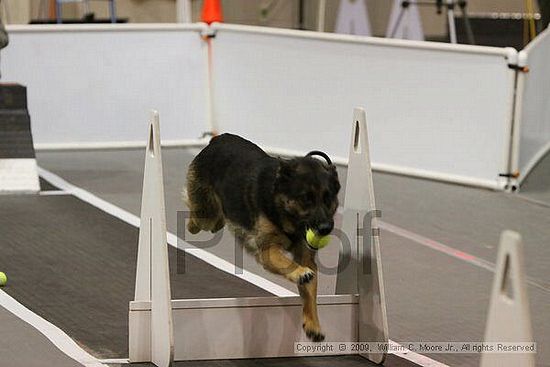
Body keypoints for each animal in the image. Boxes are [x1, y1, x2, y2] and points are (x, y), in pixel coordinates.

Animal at [185, 134, 340, 344]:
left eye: (327, 198)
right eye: (305, 199)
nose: (325, 228)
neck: (279, 205)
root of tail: (219, 138)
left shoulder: (306, 257)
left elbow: (309, 292)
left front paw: (313, 324)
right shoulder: (268, 251)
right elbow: (288, 264)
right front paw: (299, 272)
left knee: (218, 220)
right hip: (204, 214)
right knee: (197, 218)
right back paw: (191, 223)